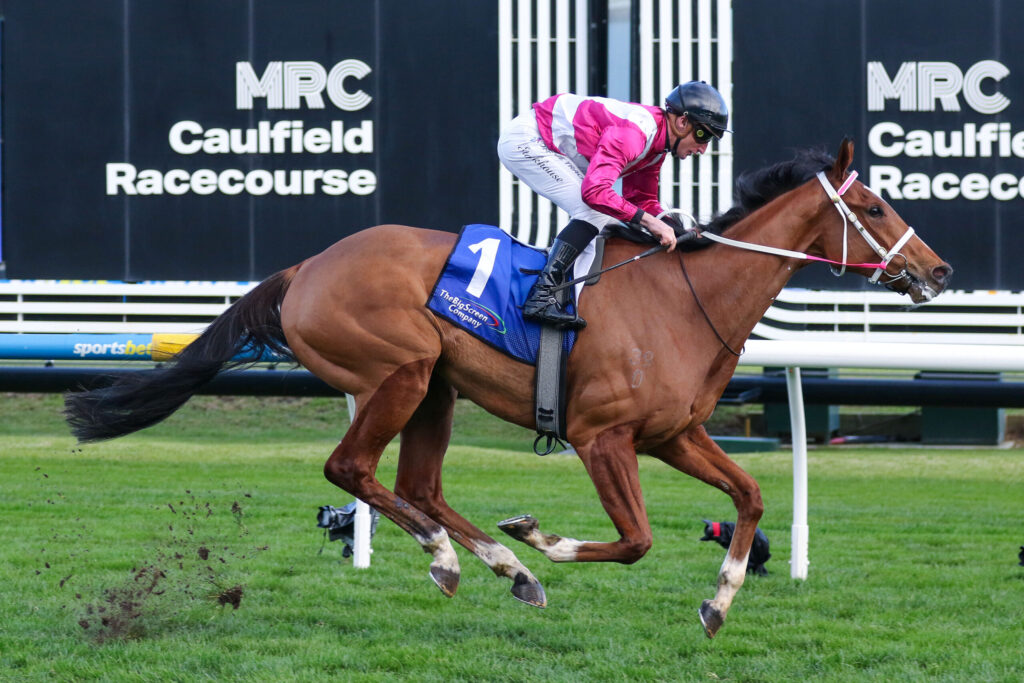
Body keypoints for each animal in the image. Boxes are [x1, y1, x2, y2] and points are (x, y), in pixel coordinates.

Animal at [65, 139, 952, 638]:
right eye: (874, 204)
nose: (938, 270)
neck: (684, 298)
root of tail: (306, 266)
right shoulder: (602, 436)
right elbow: (637, 539)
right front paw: (544, 537)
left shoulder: (676, 434)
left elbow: (752, 494)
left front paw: (720, 601)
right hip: (400, 371)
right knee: (353, 469)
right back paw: (455, 555)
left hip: (437, 388)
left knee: (418, 482)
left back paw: (502, 565)